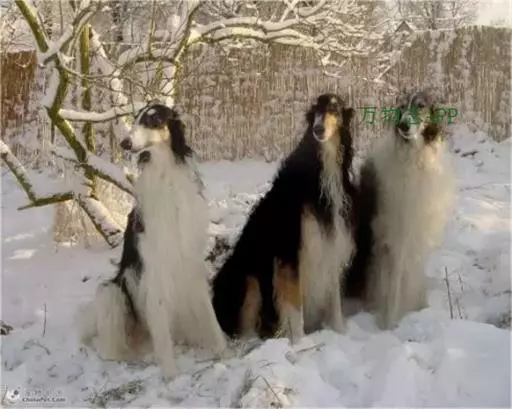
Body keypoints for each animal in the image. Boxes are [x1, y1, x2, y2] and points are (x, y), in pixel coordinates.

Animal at [78, 103, 226, 379]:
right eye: (135, 119)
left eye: (153, 119)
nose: (125, 143)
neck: (165, 174)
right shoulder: (155, 268)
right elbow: (161, 327)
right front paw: (171, 374)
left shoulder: (190, 260)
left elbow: (210, 314)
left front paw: (224, 351)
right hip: (113, 291)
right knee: (111, 346)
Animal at [212, 93, 356, 343]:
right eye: (315, 111)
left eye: (334, 108)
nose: (318, 129)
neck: (322, 170)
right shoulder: (290, 253)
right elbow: (294, 306)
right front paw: (299, 343)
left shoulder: (330, 244)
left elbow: (335, 299)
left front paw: (340, 333)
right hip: (250, 278)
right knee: (246, 329)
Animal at [344, 90, 456, 329]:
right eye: (402, 107)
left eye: (421, 105)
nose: (403, 126)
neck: (416, 159)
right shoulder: (396, 237)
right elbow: (394, 285)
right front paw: (390, 325)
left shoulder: (418, 233)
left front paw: (422, 310)